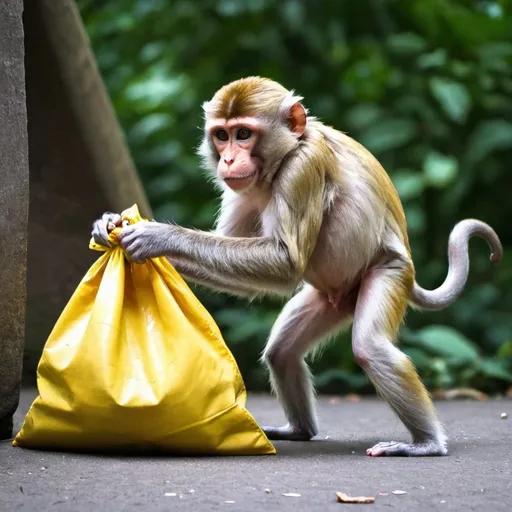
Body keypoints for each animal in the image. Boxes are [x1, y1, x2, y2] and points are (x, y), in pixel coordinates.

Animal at [90, 78, 502, 458]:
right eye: (221, 135)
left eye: (243, 134)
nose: (227, 160)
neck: (285, 155)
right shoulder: (240, 188)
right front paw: (110, 225)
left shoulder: (303, 169)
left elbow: (285, 262)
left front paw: (157, 236)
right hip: (333, 299)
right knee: (282, 352)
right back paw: (299, 430)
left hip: (389, 273)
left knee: (369, 346)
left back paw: (426, 444)